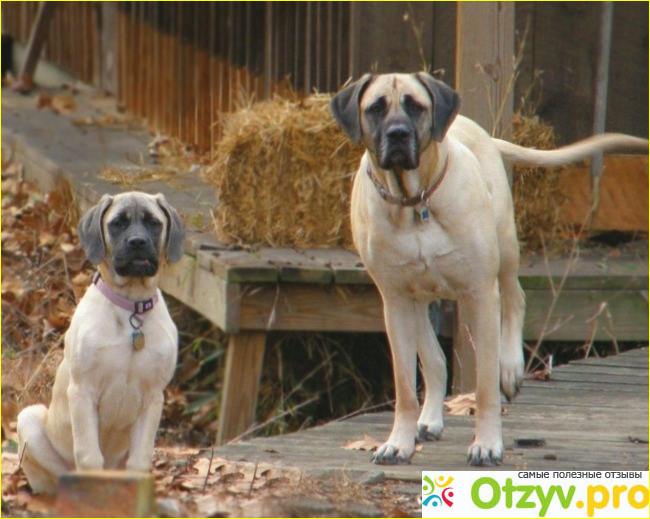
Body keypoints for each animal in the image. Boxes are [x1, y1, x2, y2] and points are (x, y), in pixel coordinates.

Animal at [17, 191, 185, 494]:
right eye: (117, 223)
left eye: (154, 223)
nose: (138, 242)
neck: (131, 306)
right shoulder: (83, 390)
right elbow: (89, 455)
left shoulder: (153, 397)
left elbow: (139, 461)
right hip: (30, 418)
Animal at [330, 72, 648, 466]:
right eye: (375, 108)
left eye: (415, 106)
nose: (398, 134)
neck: (414, 201)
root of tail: (482, 134)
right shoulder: (395, 301)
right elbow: (405, 384)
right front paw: (398, 442)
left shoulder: (480, 293)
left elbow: (484, 386)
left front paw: (487, 443)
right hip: (416, 300)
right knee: (435, 359)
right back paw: (430, 418)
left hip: (505, 247)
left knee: (516, 297)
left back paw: (511, 367)